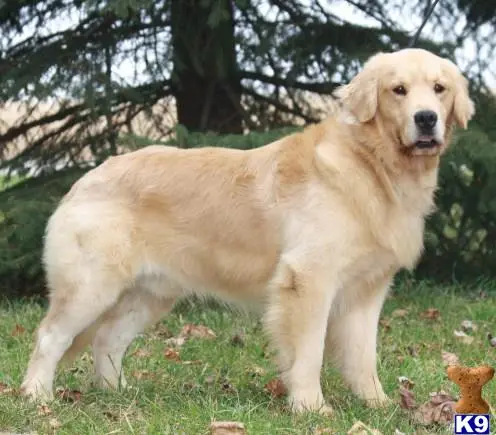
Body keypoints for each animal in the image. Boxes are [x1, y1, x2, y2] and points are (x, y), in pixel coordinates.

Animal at [21, 48, 474, 416]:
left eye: (439, 89)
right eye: (398, 90)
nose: (426, 119)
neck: (372, 164)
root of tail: (83, 180)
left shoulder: (367, 290)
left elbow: (364, 356)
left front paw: (378, 405)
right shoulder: (308, 279)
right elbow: (309, 352)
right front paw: (310, 407)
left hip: (150, 293)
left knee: (107, 340)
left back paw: (117, 395)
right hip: (91, 285)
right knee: (50, 337)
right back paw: (37, 397)